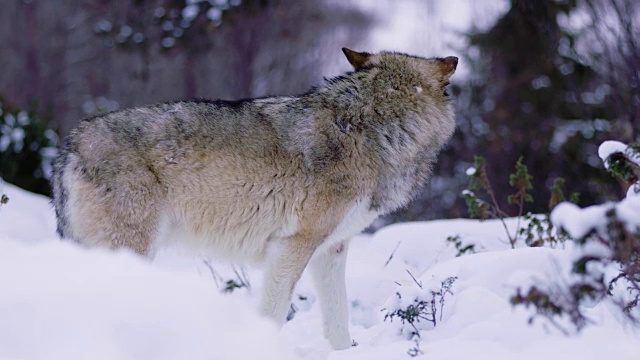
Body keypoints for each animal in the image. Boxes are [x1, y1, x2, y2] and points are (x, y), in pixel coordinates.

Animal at [52, 47, 458, 348]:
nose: (452, 59)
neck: (372, 129)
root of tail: (70, 146)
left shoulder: (331, 250)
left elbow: (338, 320)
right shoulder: (292, 246)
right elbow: (273, 313)